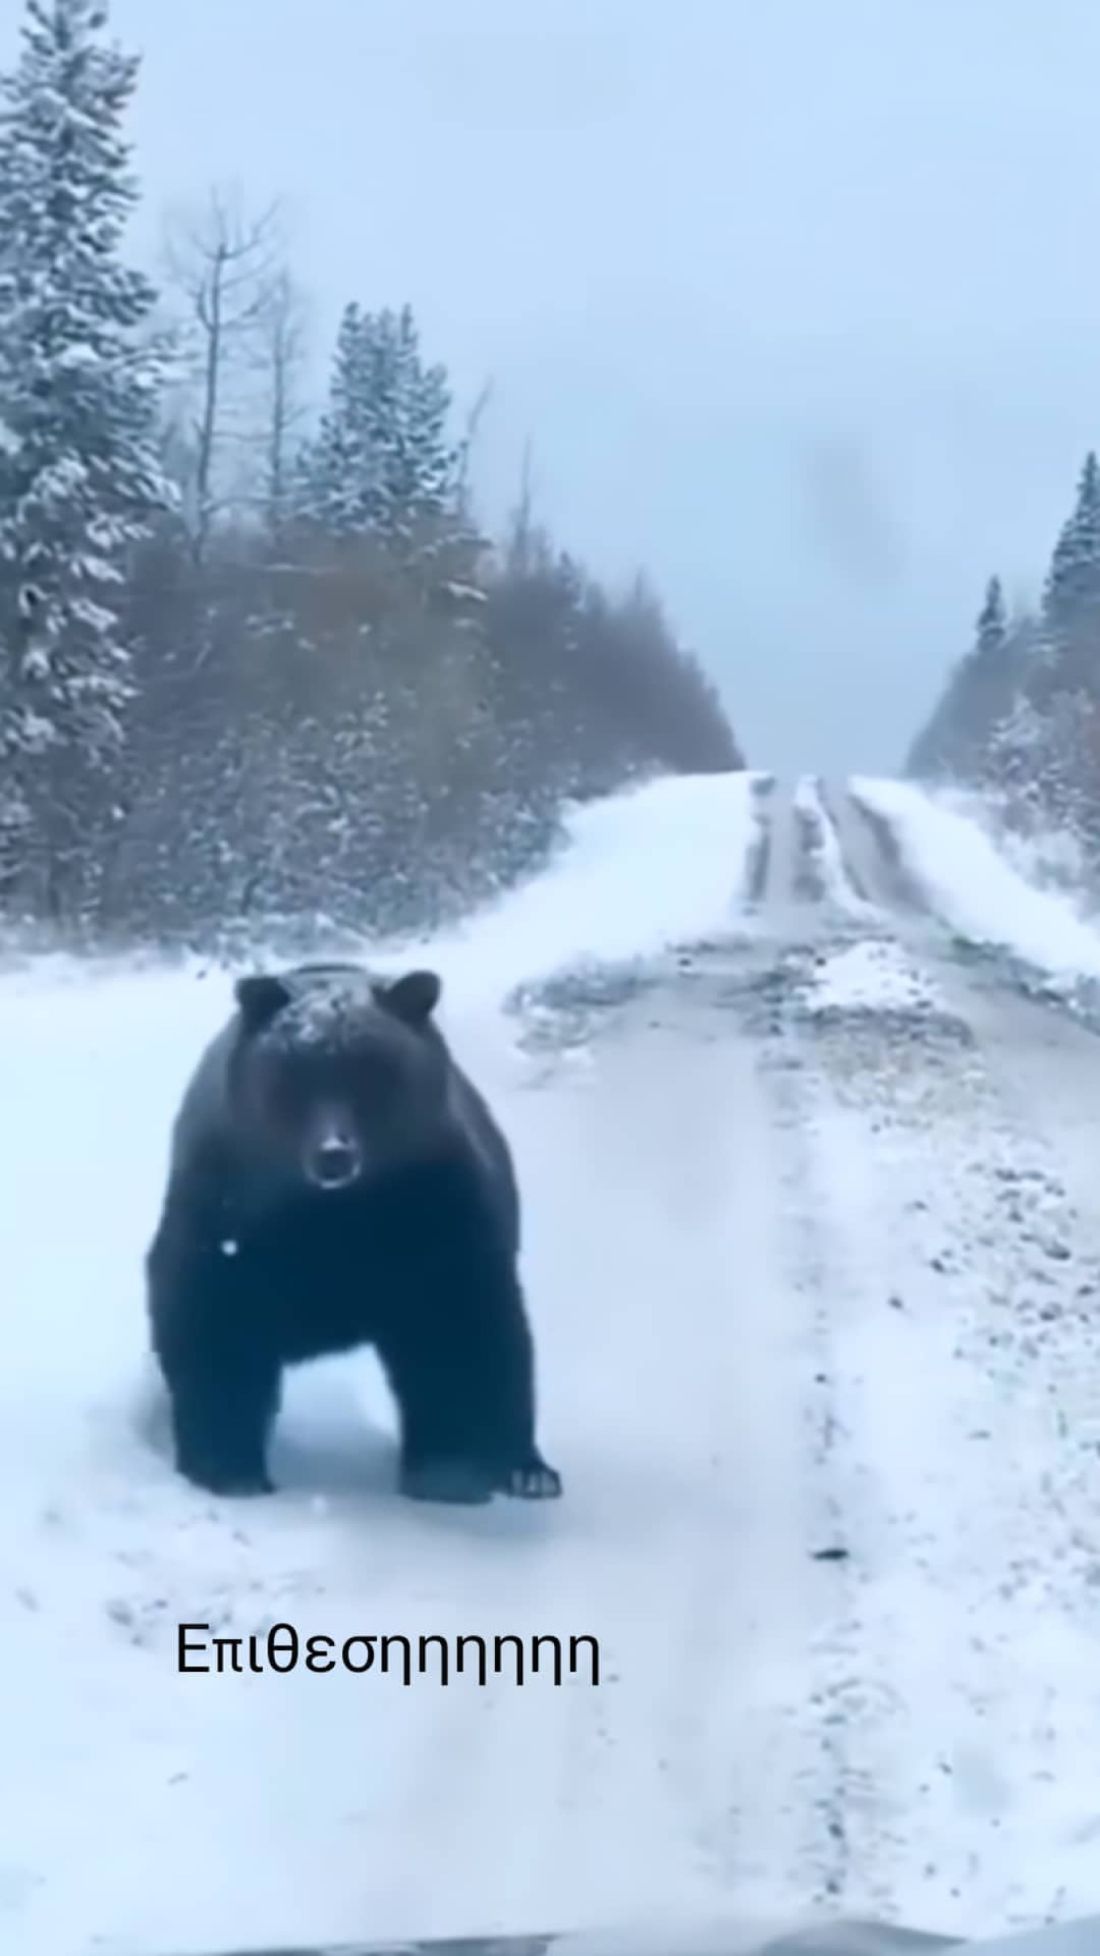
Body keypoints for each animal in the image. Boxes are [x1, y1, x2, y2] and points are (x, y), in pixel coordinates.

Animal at [145, 954, 555, 1502]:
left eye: (373, 1073)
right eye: (294, 1075)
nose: (334, 1153)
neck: (329, 1219)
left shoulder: (434, 1221)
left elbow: (459, 1337)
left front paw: (449, 1471)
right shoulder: (229, 1222)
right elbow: (213, 1330)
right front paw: (228, 1469)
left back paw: (529, 1471)